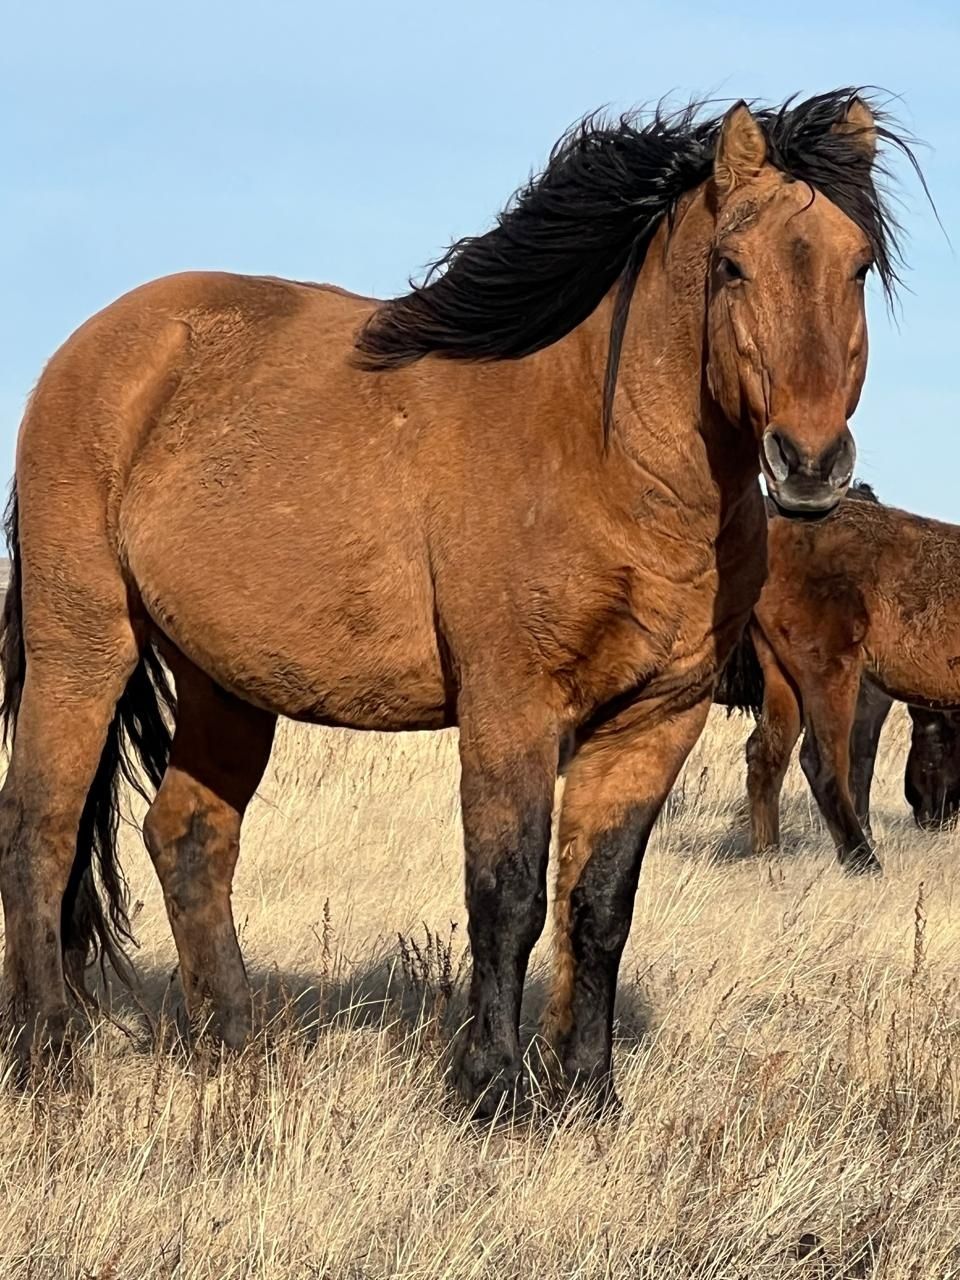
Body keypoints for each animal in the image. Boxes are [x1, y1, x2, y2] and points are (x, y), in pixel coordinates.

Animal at [0, 90, 916, 1116]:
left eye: (858, 264)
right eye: (731, 265)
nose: (809, 465)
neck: (601, 456)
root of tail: (92, 353)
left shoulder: (654, 721)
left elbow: (599, 905)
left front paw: (588, 1091)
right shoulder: (510, 706)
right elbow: (507, 895)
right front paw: (492, 1090)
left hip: (224, 682)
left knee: (189, 838)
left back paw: (235, 1051)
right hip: (82, 646)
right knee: (37, 830)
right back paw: (50, 1059)